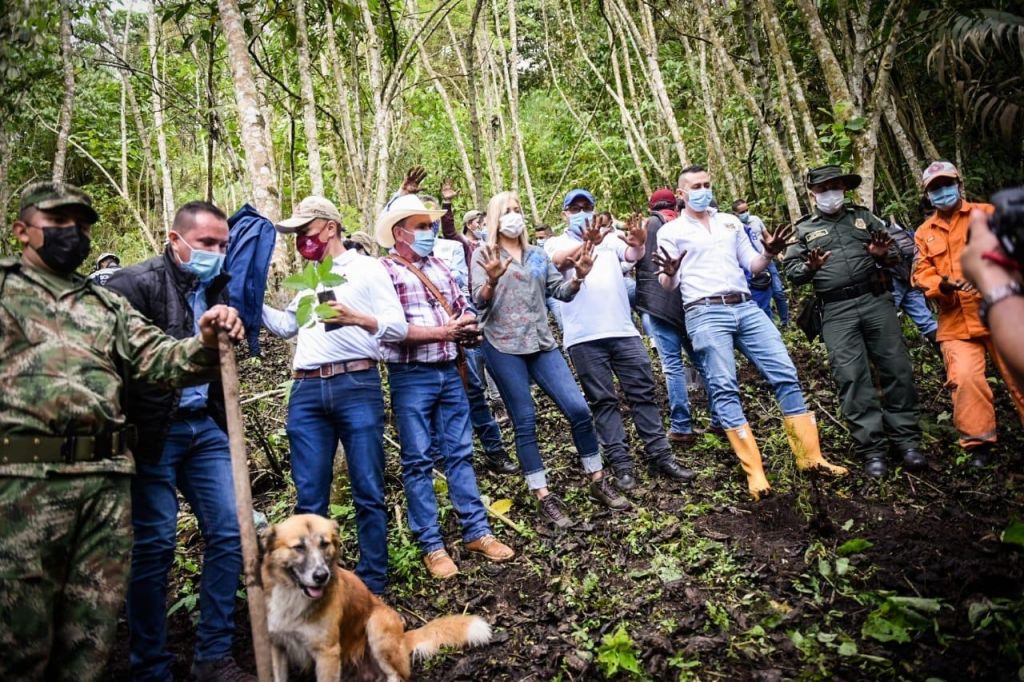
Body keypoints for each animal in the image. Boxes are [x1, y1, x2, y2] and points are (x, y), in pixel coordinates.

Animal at [260, 512, 491, 675]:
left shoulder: (328, 653)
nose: (321, 576)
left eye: (324, 544)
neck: (293, 599)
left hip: (377, 626)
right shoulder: (276, 647)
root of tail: (402, 637)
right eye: (298, 547)